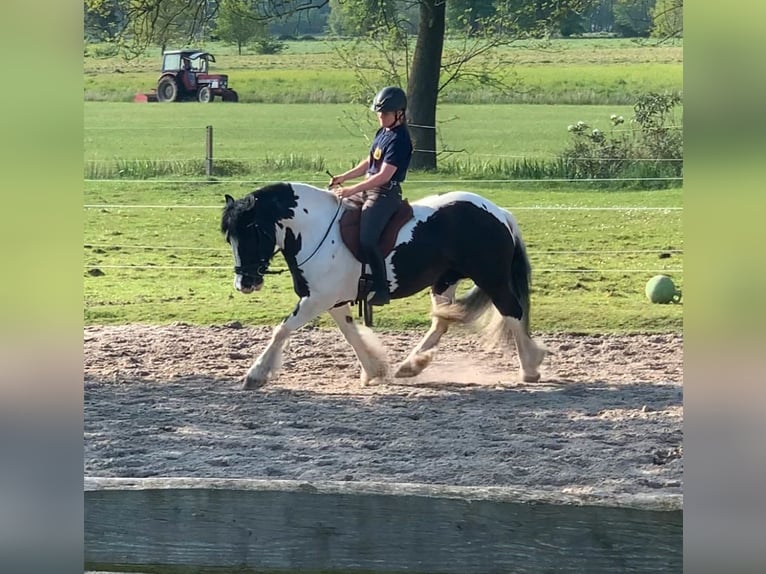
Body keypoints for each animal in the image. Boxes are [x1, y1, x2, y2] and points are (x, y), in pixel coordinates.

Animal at [219, 184, 548, 392]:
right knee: (441, 322)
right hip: (446, 280)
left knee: (512, 312)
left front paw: (255, 375)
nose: (244, 282)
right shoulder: (332, 301)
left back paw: (530, 368)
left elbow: (281, 330)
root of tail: (498, 211)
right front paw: (374, 370)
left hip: (491, 277)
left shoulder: (317, 299)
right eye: (229, 237)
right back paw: (410, 366)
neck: (316, 231)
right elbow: (350, 334)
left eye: (251, 231)